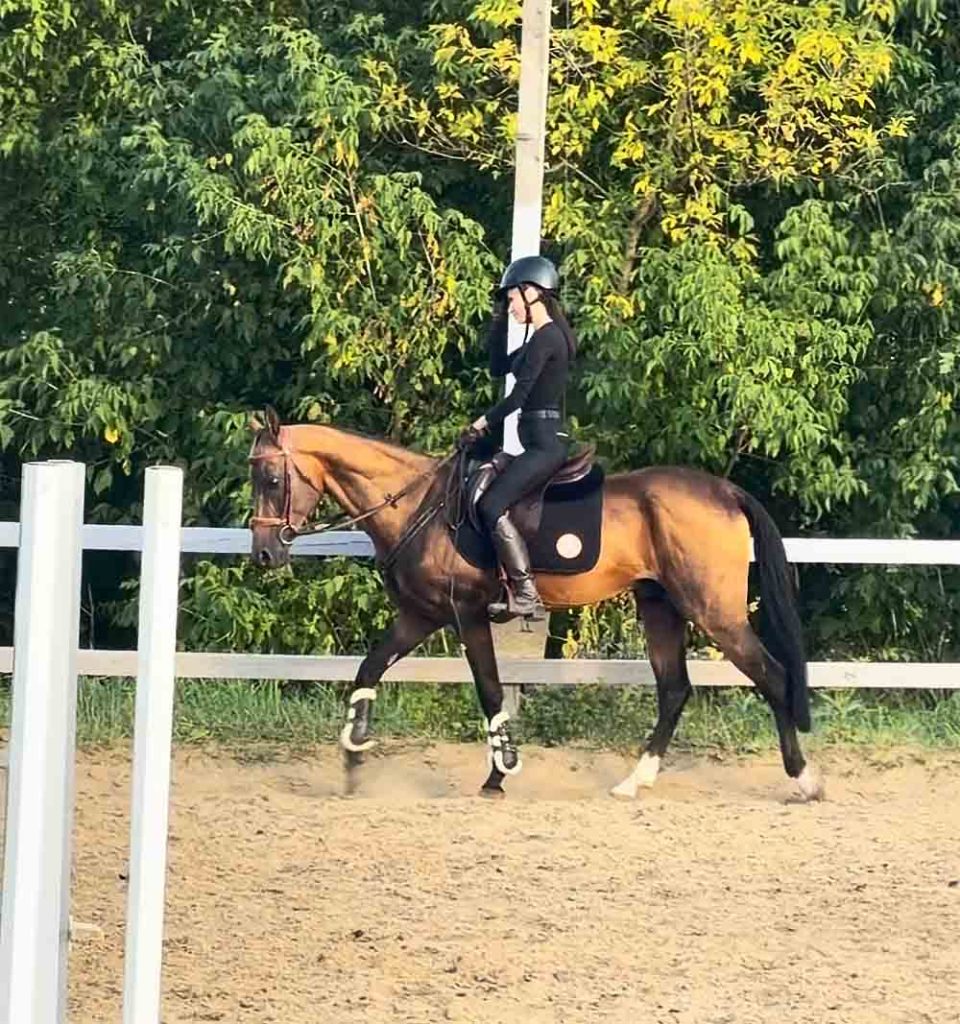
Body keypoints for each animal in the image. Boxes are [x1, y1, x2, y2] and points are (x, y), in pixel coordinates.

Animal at [247, 407, 824, 802]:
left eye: (272, 479)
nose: (264, 553)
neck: (417, 506)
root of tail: (726, 491)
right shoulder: (420, 615)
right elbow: (368, 669)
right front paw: (353, 754)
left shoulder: (467, 615)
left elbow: (489, 691)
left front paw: (499, 772)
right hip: (660, 606)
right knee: (674, 689)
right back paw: (633, 782)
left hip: (712, 611)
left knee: (772, 676)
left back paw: (804, 780)